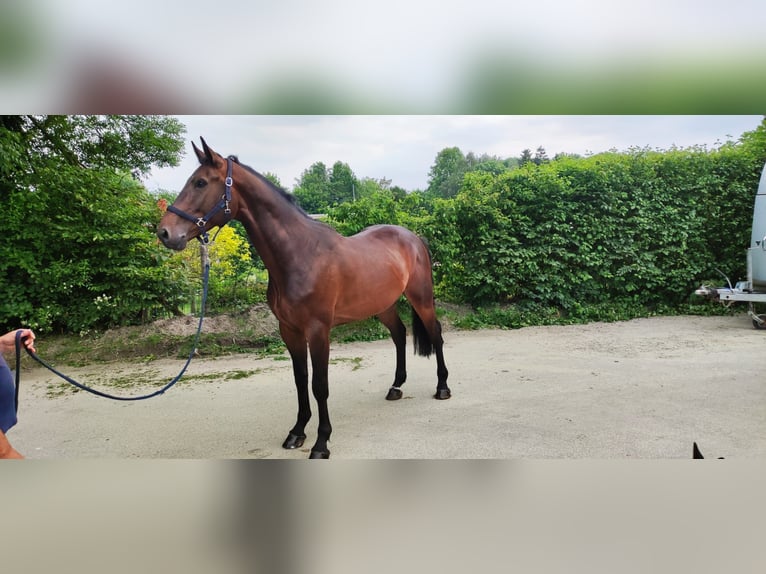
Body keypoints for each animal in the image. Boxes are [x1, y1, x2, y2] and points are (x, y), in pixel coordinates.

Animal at [159, 138, 452, 460]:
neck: (300, 254)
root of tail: (413, 237)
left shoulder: (318, 330)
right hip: (383, 305)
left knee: (436, 334)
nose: (165, 232)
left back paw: (442, 387)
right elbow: (300, 381)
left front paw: (321, 443)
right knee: (399, 335)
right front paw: (297, 432)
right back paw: (396, 386)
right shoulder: (290, 330)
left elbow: (319, 385)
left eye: (200, 182)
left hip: (421, 298)